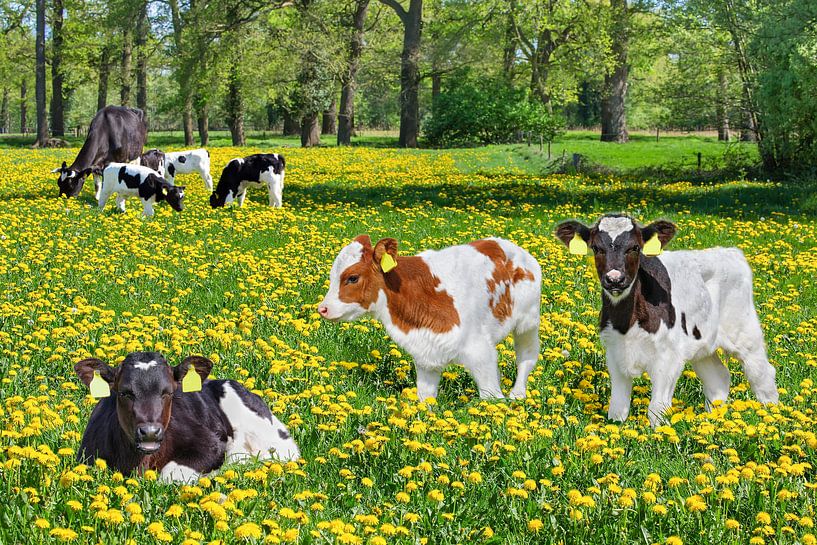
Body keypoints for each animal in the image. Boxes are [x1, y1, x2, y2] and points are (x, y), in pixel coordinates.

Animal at [318, 236, 542, 402]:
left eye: (352, 278)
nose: (323, 308)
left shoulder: (480, 351)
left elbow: (492, 398)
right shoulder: (426, 355)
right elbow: (426, 398)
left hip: (528, 322)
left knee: (527, 357)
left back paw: (517, 395)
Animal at [555, 214, 779, 427]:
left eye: (635, 247)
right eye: (596, 248)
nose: (614, 279)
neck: (627, 323)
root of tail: (730, 251)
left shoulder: (668, 357)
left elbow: (657, 409)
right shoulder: (615, 353)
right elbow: (617, 409)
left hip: (745, 332)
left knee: (762, 374)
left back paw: (772, 416)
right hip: (702, 345)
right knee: (719, 379)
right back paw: (712, 420)